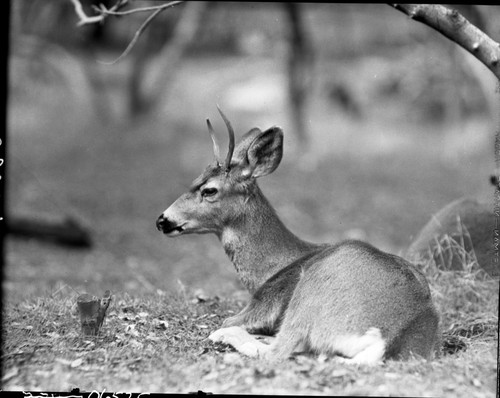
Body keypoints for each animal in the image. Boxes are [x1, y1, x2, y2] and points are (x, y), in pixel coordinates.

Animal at [155, 107, 438, 366]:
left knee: (277, 350)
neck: (270, 269)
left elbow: (232, 319)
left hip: (311, 293)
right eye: (195, 179)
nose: (162, 220)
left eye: (209, 190)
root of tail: (386, 339)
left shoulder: (264, 304)